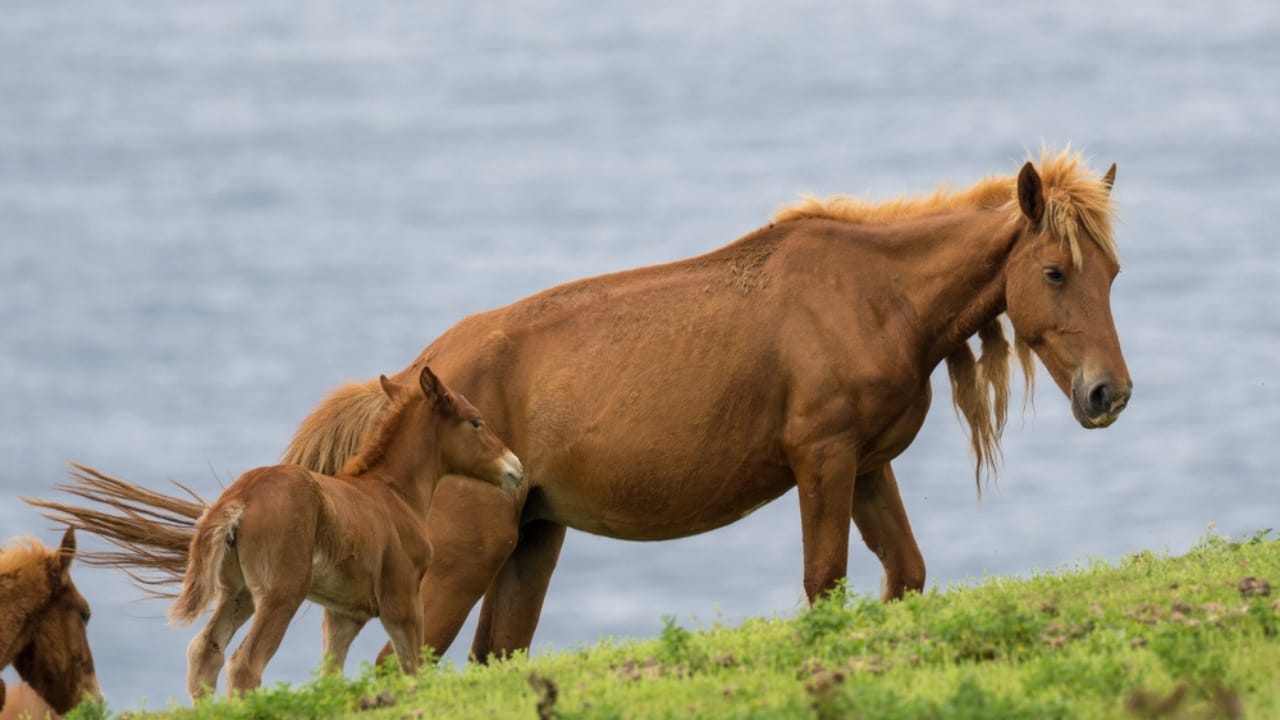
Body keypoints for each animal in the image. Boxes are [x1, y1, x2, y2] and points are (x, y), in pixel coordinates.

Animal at [168, 365, 523, 698]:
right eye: (476, 422)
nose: (516, 469)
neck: (394, 491)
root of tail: (242, 495)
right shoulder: (402, 599)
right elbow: (412, 668)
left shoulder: (344, 613)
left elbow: (331, 676)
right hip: (281, 592)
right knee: (245, 664)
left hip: (236, 591)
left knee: (205, 651)